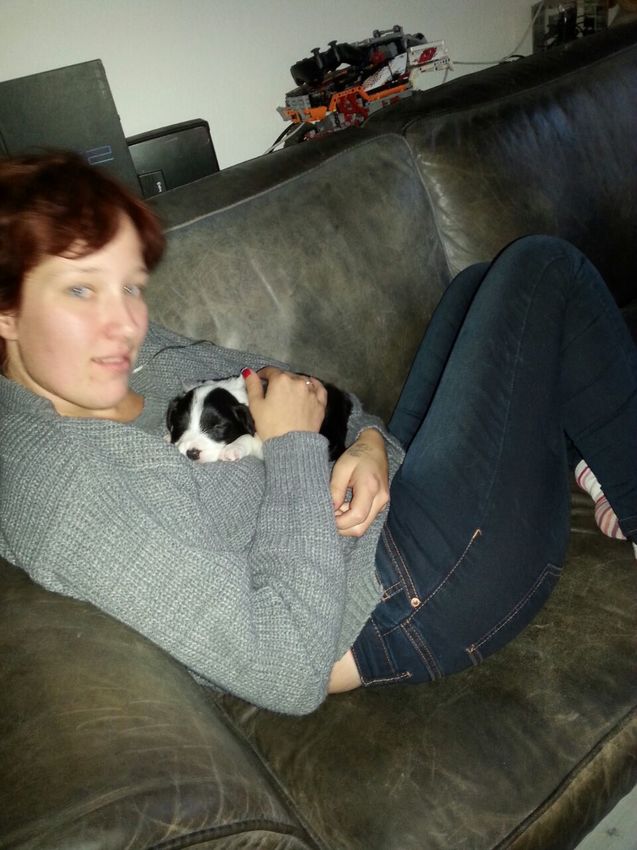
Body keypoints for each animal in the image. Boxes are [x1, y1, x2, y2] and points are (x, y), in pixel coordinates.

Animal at [166, 374, 352, 463]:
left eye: (218, 427)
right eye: (180, 424)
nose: (192, 453)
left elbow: (250, 437)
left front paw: (233, 448)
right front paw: (168, 436)